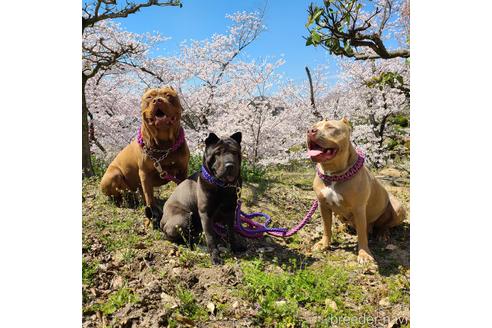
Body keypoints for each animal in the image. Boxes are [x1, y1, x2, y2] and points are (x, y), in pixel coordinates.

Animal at [100, 86, 190, 227]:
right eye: (149, 97)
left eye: (168, 95)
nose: (157, 100)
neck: (164, 144)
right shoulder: (145, 174)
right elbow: (149, 197)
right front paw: (151, 217)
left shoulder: (182, 170)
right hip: (113, 175)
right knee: (120, 196)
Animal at [306, 119, 406, 262]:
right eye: (313, 126)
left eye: (330, 127)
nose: (310, 130)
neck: (334, 174)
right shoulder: (323, 205)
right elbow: (326, 227)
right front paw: (324, 244)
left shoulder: (359, 209)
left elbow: (362, 235)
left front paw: (364, 254)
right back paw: (344, 227)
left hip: (398, 208)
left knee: (384, 225)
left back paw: (382, 233)